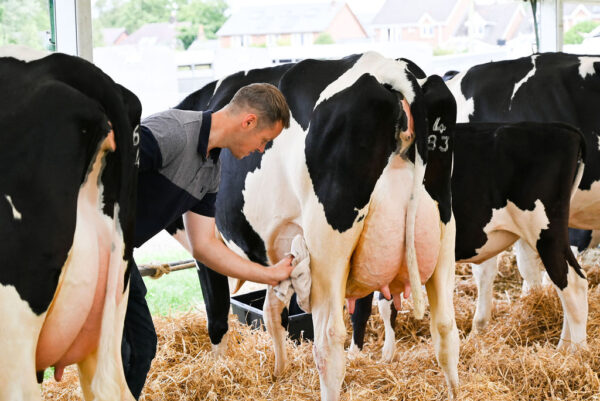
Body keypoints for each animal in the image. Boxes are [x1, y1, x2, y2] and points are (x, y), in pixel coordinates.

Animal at [169, 51, 460, 398]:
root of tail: (390, 69)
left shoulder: (204, 248)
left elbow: (218, 319)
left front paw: (218, 370)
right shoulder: (277, 252)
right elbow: (272, 312)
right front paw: (279, 372)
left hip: (328, 245)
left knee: (329, 340)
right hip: (443, 231)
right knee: (445, 327)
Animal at [352, 121, 584, 360]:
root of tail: (564, 128)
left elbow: (364, 307)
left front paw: (357, 356)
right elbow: (383, 302)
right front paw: (385, 355)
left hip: (545, 231)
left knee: (573, 285)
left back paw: (577, 353)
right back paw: (563, 349)